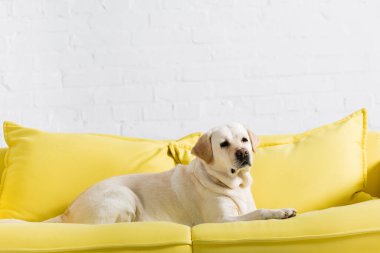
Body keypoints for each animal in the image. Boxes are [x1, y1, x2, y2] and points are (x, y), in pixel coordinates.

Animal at [1, 123, 296, 224]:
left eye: (244, 139)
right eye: (224, 144)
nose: (243, 153)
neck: (234, 184)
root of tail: (66, 212)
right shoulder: (219, 221)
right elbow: (259, 213)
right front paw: (280, 212)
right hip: (124, 196)